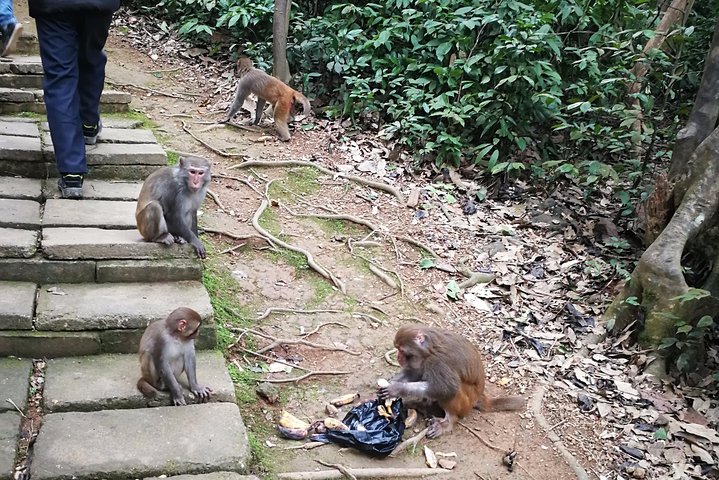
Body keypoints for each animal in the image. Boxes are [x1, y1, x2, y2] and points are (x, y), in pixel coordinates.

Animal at [379, 324, 524, 438]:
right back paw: (422, 404)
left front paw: (396, 389)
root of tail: (479, 396)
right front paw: (389, 386)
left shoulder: (437, 362)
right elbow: (415, 373)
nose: (398, 357)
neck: (430, 349)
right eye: (397, 348)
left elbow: (446, 388)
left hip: (466, 402)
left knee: (452, 392)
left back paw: (448, 421)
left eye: (401, 350)